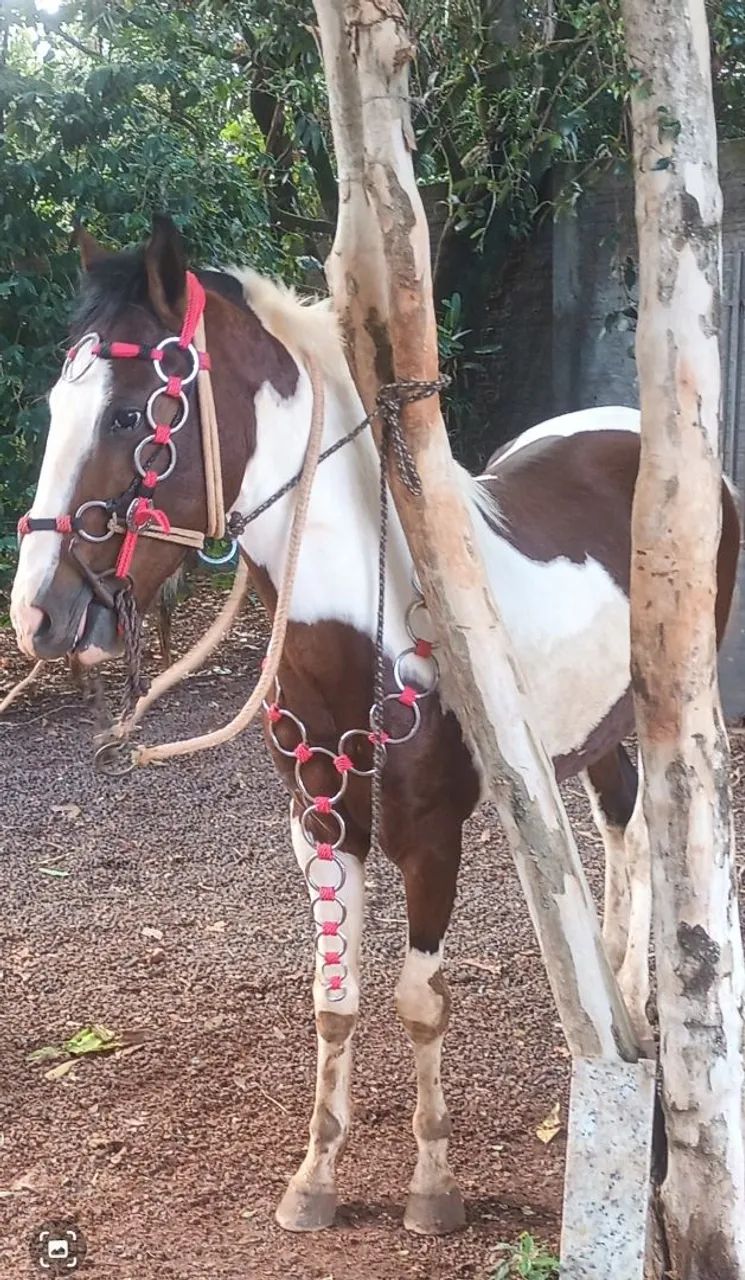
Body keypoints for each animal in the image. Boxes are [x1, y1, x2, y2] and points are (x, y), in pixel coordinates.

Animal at [11, 216, 740, 1237]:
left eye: (128, 418)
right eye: (55, 403)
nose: (38, 613)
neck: (367, 628)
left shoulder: (431, 836)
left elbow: (418, 1000)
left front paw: (432, 1186)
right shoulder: (321, 826)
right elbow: (335, 998)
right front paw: (314, 1177)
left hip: (666, 701)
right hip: (595, 733)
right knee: (620, 824)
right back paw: (612, 1002)